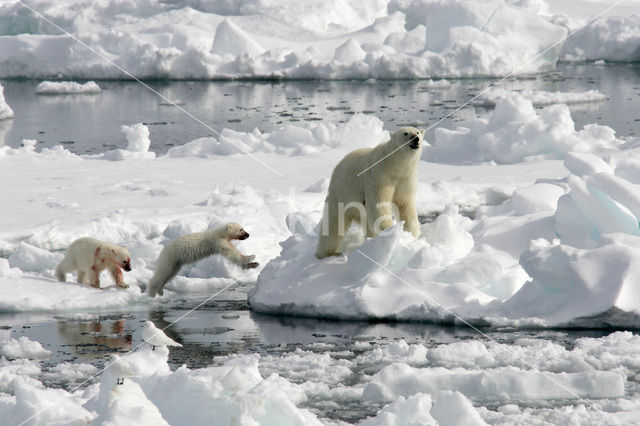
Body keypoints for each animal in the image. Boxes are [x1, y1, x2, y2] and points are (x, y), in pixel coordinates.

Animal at [316, 125, 424, 260]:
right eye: (405, 133)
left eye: (418, 132)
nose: (416, 139)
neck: (394, 165)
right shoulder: (378, 175)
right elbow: (379, 204)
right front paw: (390, 231)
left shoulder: (405, 178)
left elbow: (405, 205)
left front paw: (410, 234)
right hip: (340, 195)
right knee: (333, 225)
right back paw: (327, 253)